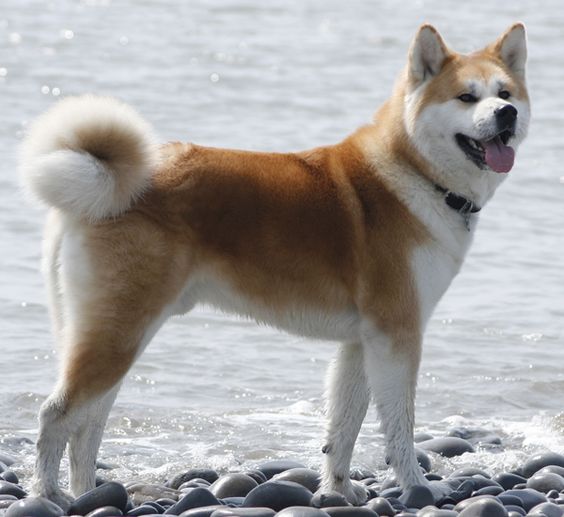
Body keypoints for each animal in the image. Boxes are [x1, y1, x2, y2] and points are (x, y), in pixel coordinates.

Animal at [20, 22, 528, 506]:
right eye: (466, 97)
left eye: (504, 94)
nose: (507, 114)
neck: (414, 175)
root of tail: (103, 184)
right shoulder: (396, 337)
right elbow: (399, 427)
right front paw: (418, 486)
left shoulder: (361, 343)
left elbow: (343, 428)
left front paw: (338, 490)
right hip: (118, 335)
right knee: (55, 416)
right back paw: (48, 494)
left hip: (113, 336)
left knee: (88, 427)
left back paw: (88, 493)